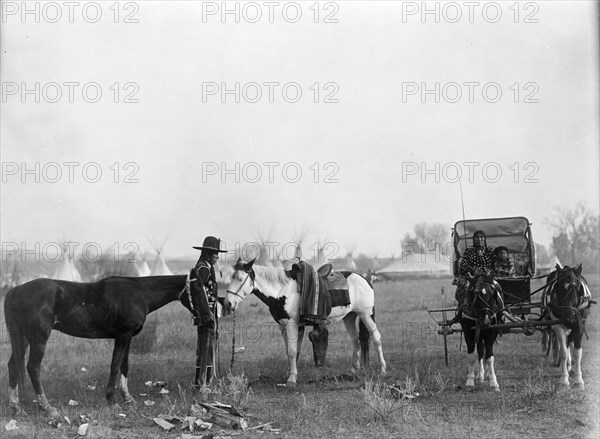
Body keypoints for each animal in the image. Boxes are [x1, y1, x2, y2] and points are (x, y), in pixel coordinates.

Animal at [2, 276, 188, 418]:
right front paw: (112, 401)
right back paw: (47, 407)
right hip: (38, 339)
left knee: (13, 365)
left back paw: (16, 406)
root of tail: (15, 291)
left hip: (22, 338)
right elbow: (115, 366)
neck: (139, 293)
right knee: (33, 368)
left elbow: (124, 366)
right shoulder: (122, 336)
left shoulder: (127, 337)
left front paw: (128, 399)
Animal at [223, 260, 386, 386]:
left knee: (376, 338)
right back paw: (353, 369)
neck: (282, 290)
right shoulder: (284, 326)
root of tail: (364, 279)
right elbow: (292, 351)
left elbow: (292, 351)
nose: (228, 303)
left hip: (366, 314)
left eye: (240, 278)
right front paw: (291, 373)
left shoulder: (291, 325)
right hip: (350, 317)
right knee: (356, 340)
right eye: (230, 277)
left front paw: (291, 379)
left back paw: (383, 369)